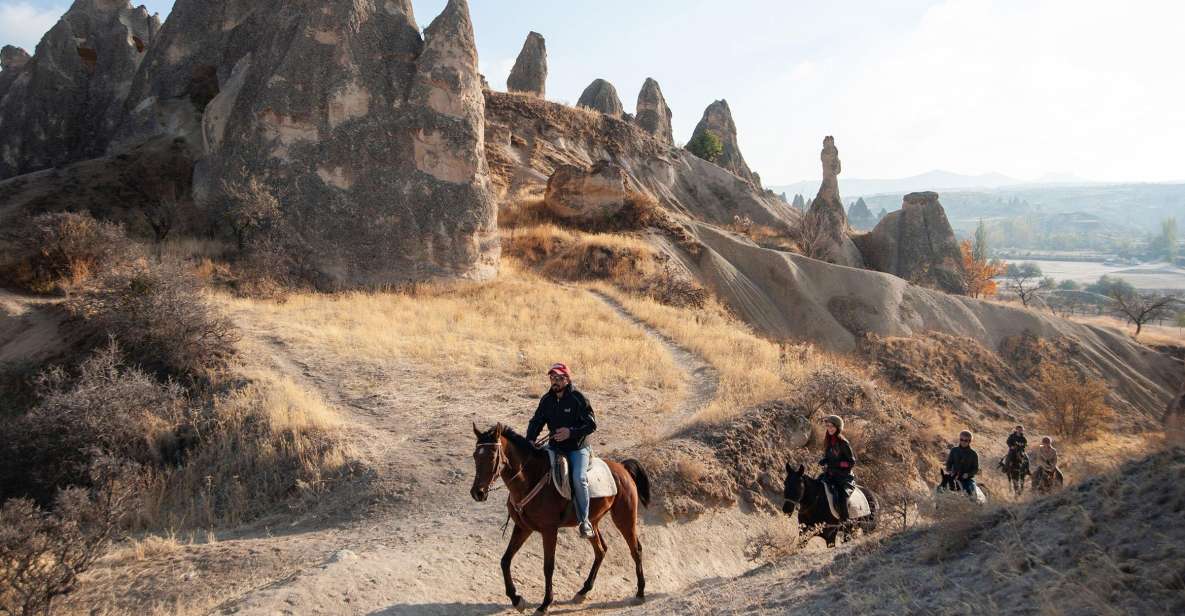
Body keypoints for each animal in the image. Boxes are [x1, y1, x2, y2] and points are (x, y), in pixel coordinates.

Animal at [466, 421, 649, 611]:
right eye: (475, 456)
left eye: (492, 456)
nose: (477, 493)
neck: (531, 478)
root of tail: (622, 468)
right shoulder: (523, 527)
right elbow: (505, 560)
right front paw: (516, 599)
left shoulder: (549, 530)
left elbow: (548, 566)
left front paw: (545, 603)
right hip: (592, 522)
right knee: (601, 550)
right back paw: (583, 591)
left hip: (625, 518)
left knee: (636, 550)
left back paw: (640, 593)